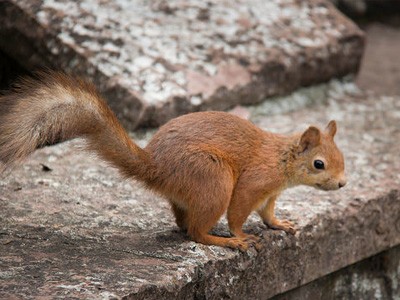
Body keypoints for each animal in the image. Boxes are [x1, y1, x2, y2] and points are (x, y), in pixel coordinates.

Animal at [0, 72, 346, 251]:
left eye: (342, 158)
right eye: (319, 164)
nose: (342, 184)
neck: (282, 158)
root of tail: (157, 168)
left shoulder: (271, 194)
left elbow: (268, 213)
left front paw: (279, 224)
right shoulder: (253, 183)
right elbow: (239, 212)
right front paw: (241, 235)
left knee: (183, 223)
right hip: (214, 179)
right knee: (194, 232)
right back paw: (222, 240)